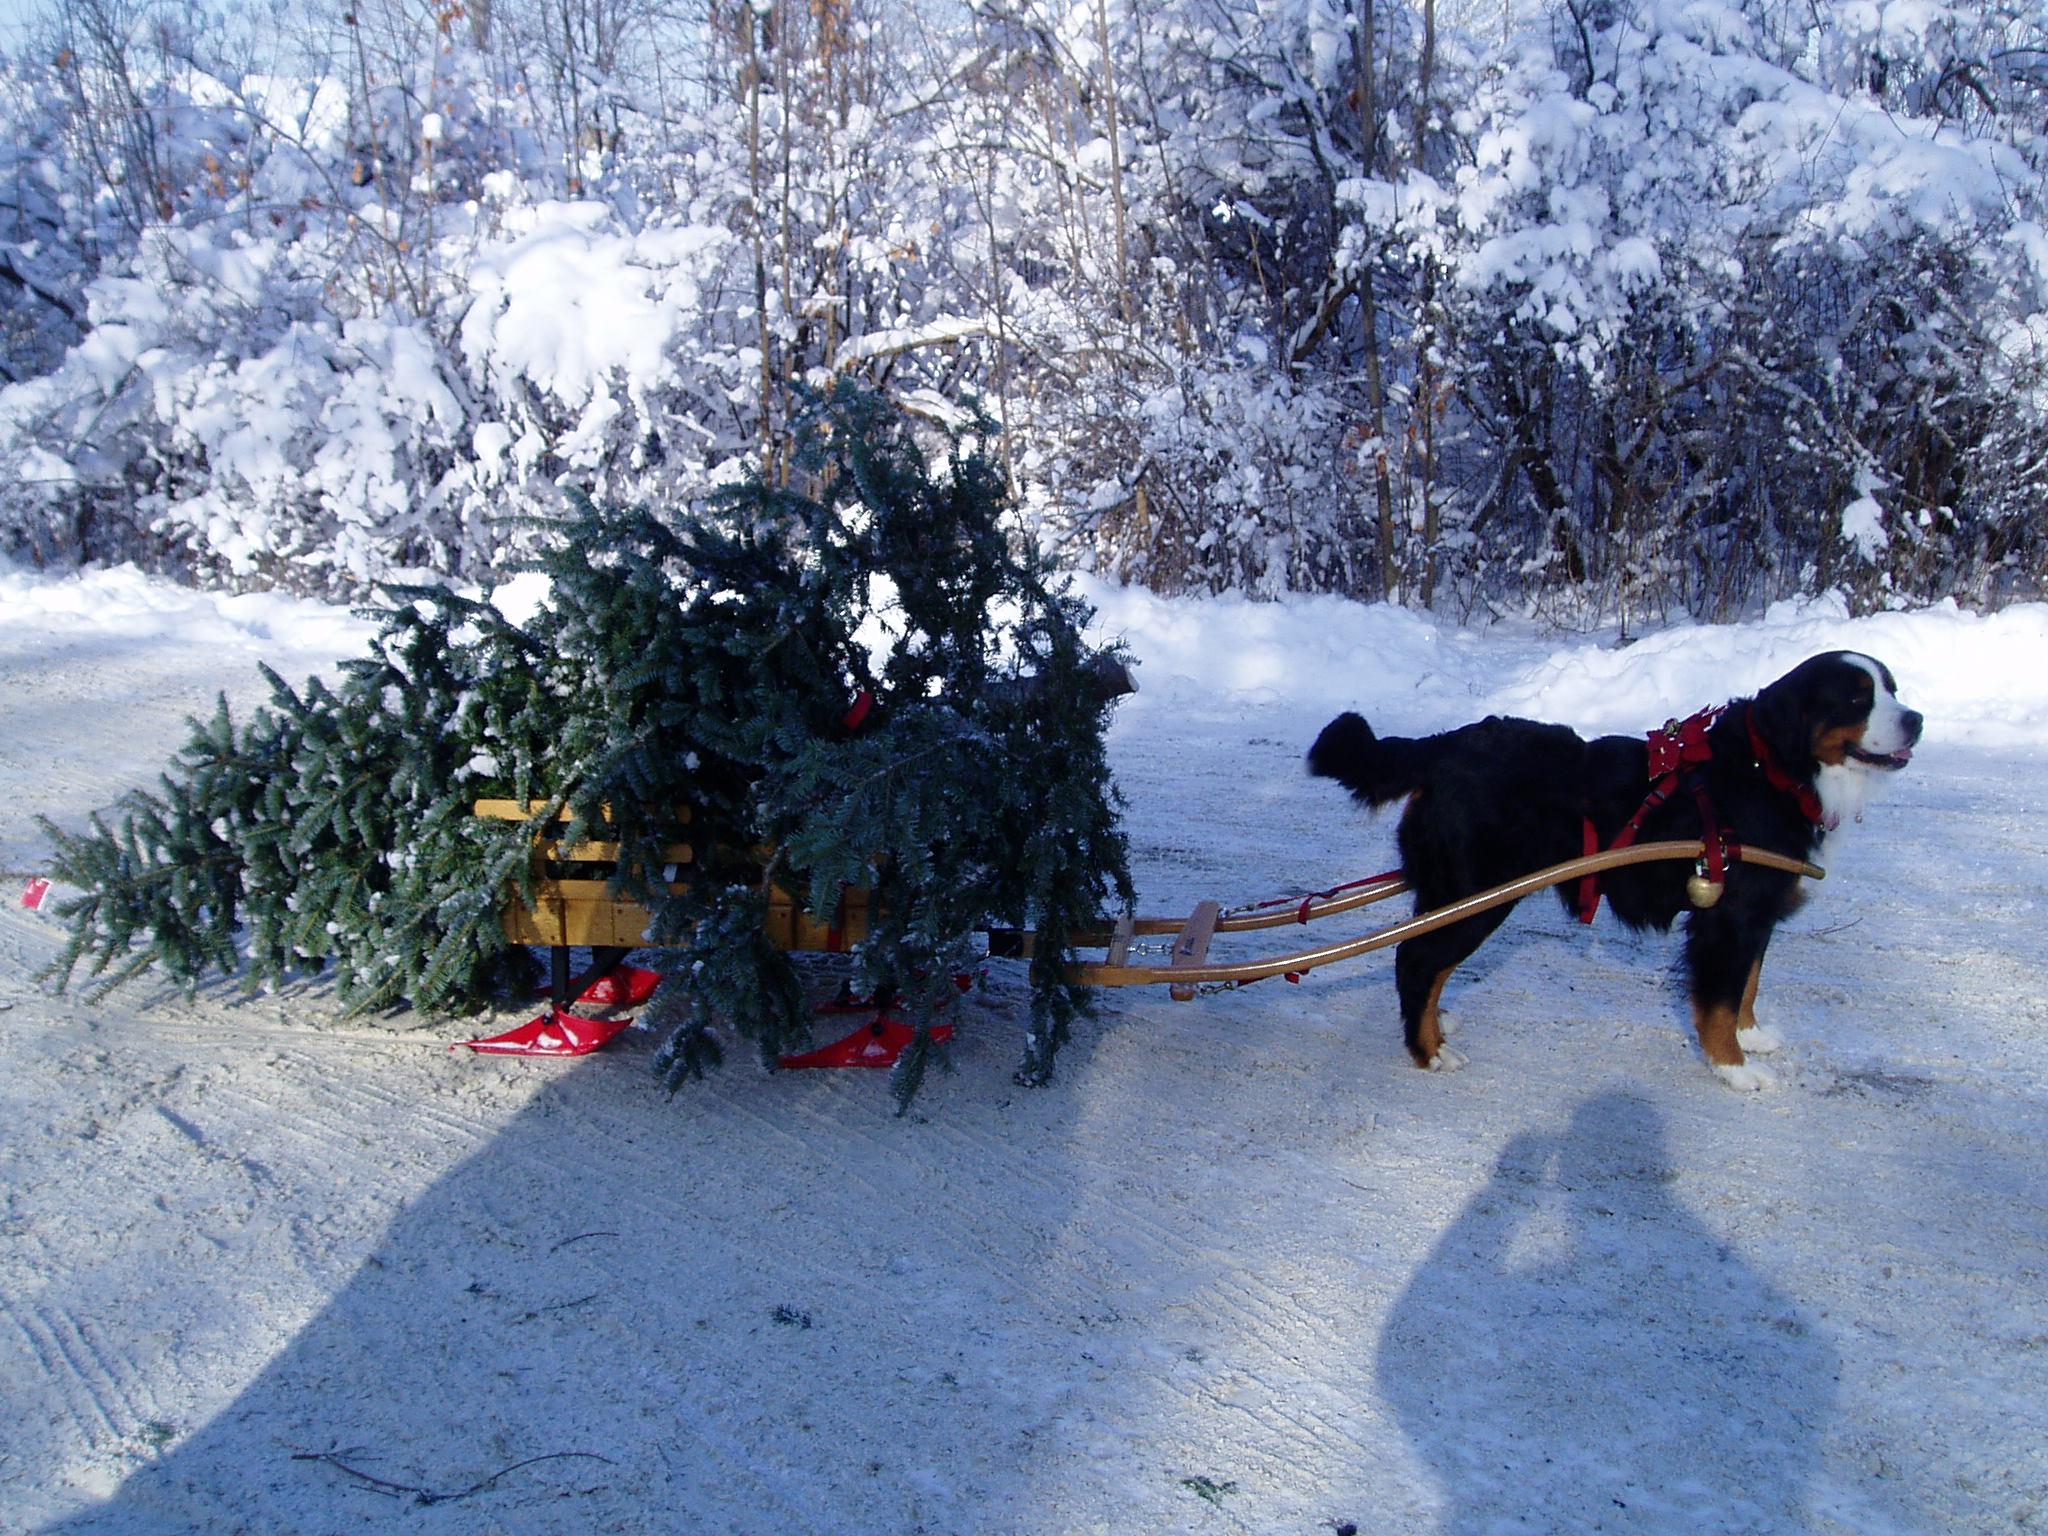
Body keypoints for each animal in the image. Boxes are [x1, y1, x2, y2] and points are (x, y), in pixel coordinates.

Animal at [1310, 651, 1916, 1097]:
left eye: (1893, 688)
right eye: (1858, 698)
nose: (1917, 719)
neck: (1771, 770)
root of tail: (1444, 746)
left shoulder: (1757, 917)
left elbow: (1747, 986)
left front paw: (1754, 1036)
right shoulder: (1730, 919)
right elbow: (1721, 1000)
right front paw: (1735, 1067)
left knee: (1426, 962)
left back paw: (1437, 1024)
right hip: (1476, 895)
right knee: (1415, 959)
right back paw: (1429, 1050)